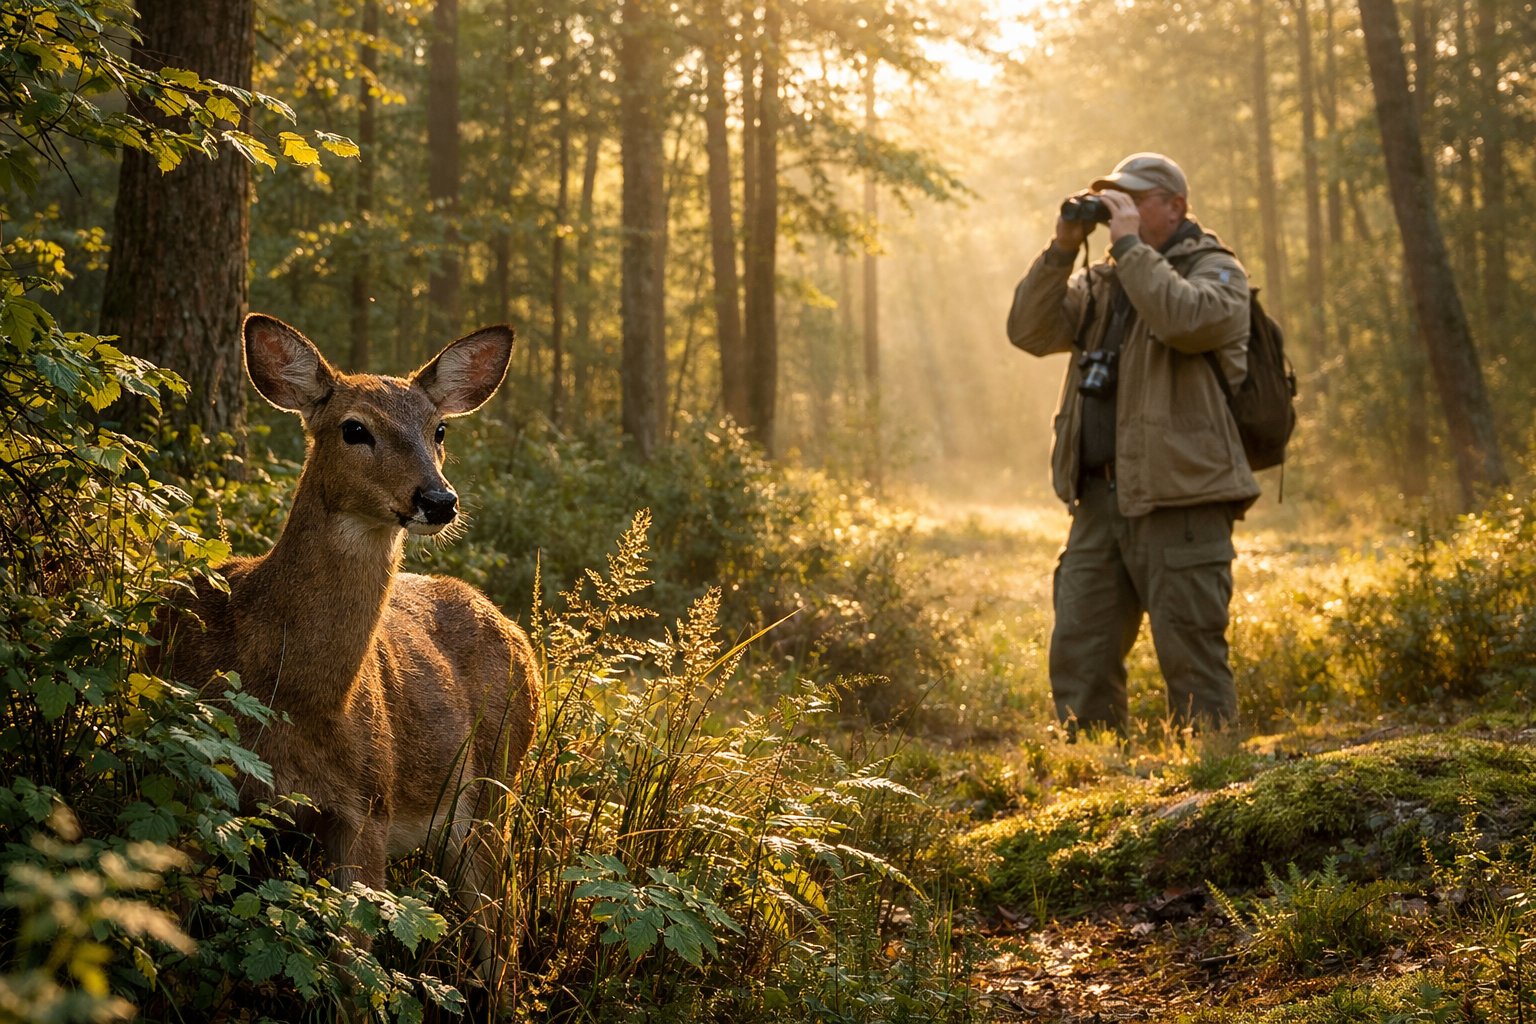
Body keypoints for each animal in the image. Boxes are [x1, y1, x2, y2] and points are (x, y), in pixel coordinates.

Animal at [155, 313, 541, 976]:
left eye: (439, 429)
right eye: (354, 428)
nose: (439, 499)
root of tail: (521, 639)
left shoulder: (369, 804)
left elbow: (355, 965)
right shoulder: (197, 782)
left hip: (496, 790)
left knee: (502, 934)